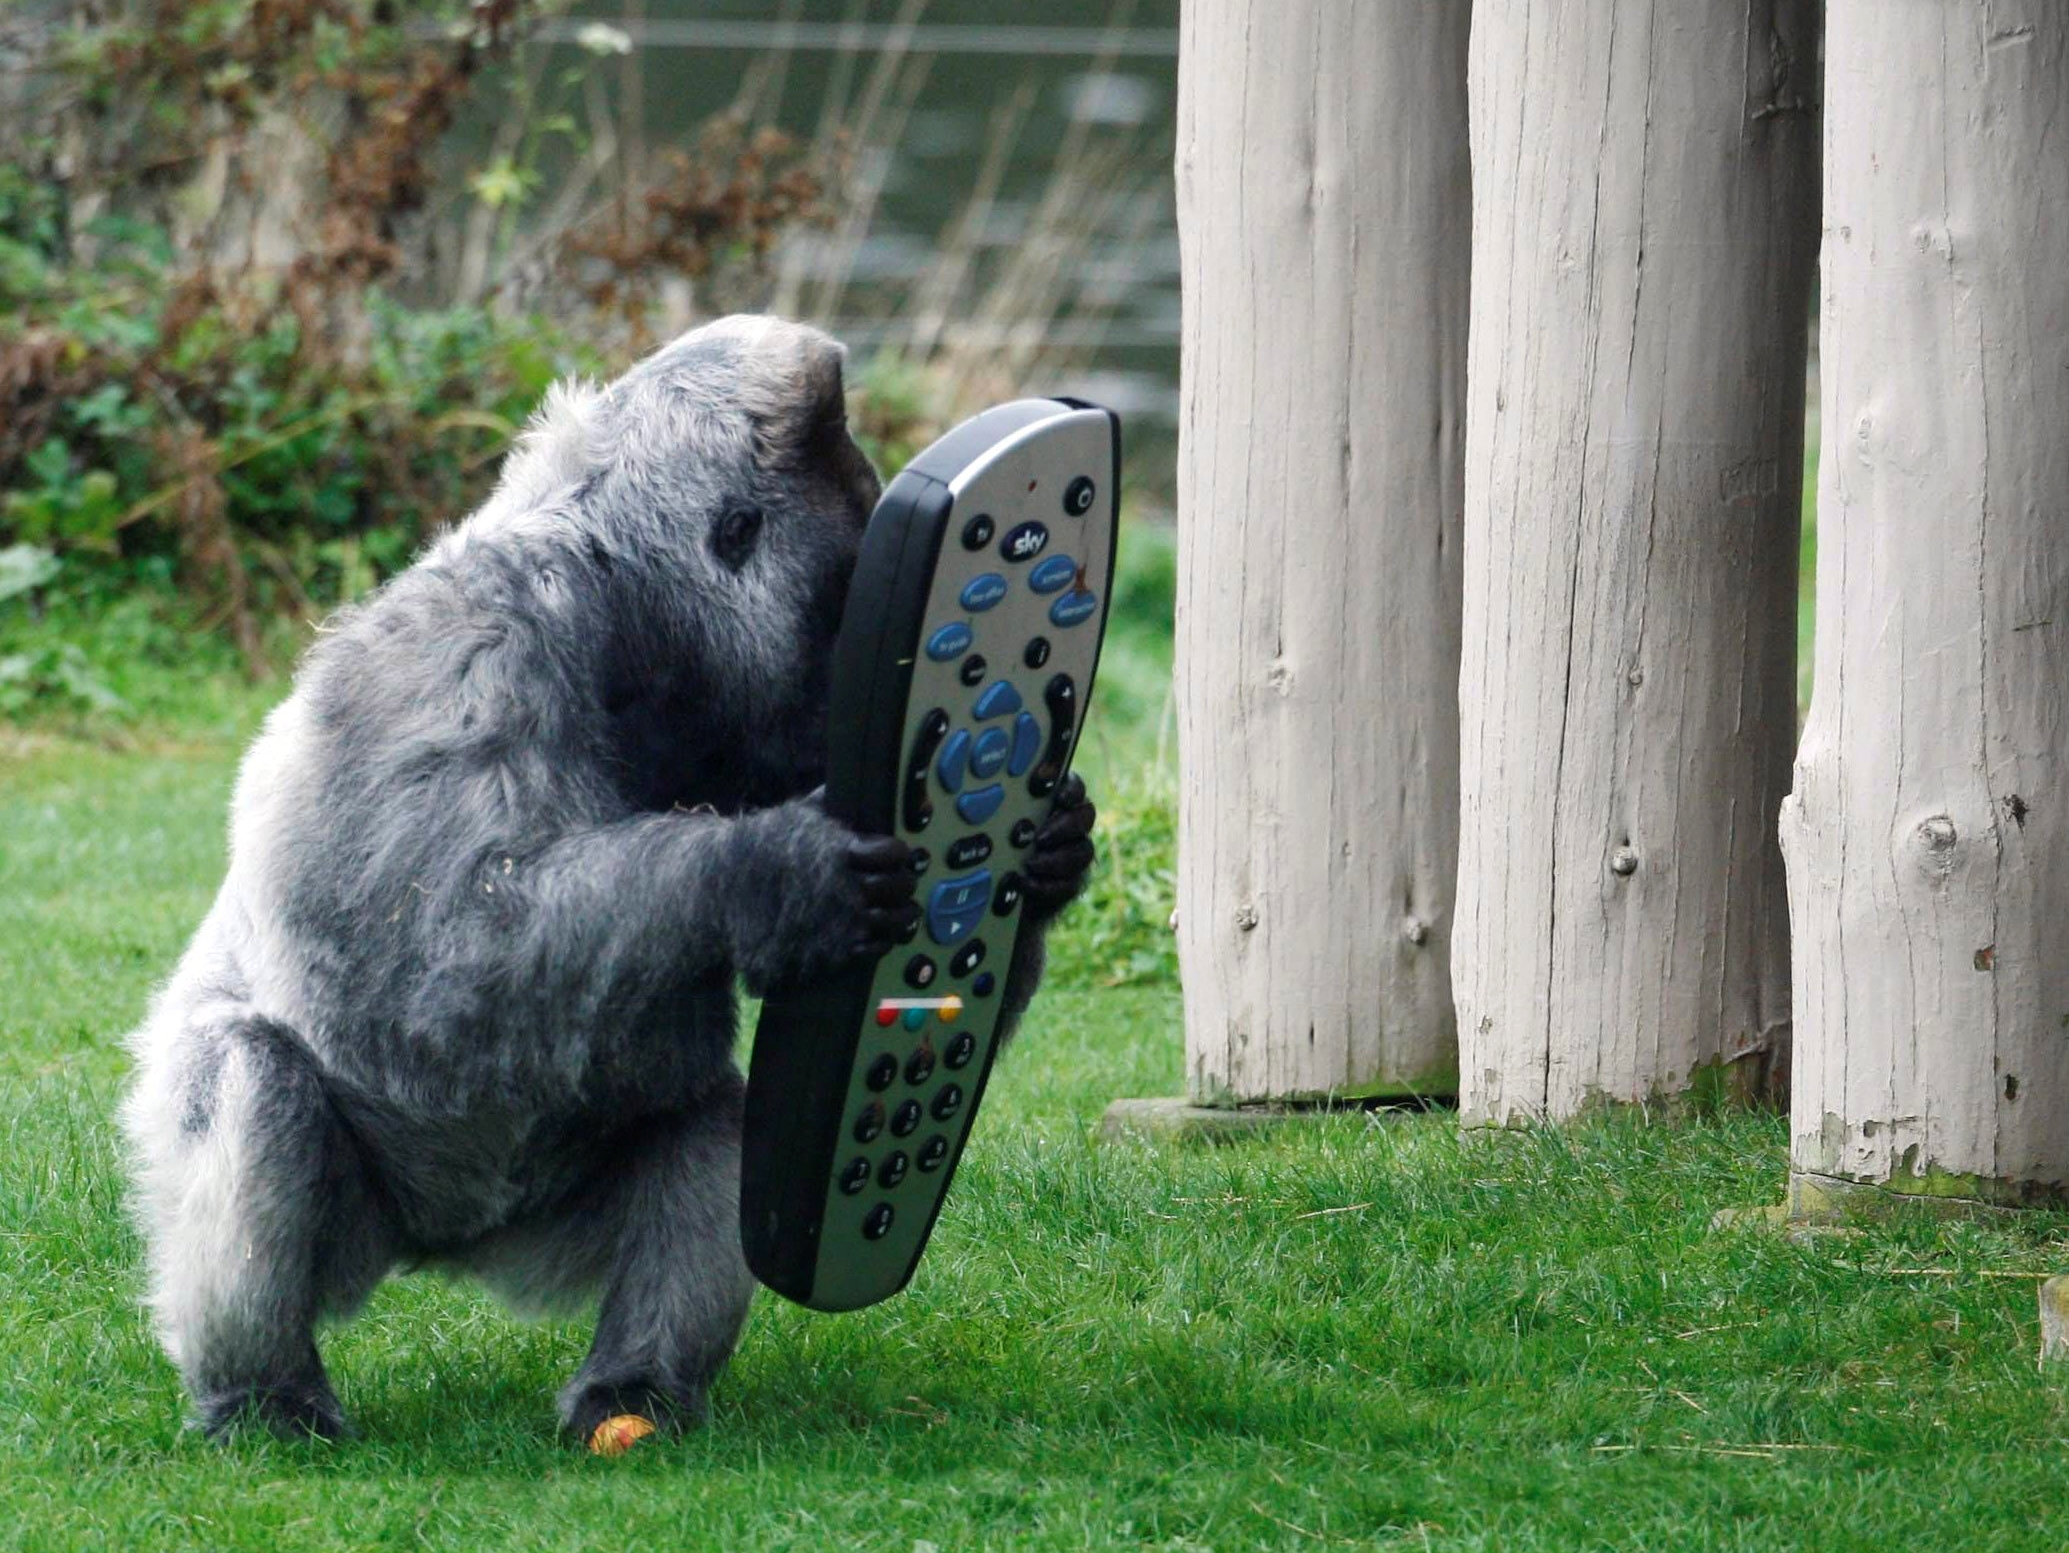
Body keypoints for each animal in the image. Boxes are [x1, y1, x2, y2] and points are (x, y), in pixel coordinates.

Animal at [118, 316, 1099, 1443]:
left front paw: (1046, 851)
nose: (846, 712)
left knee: (715, 1124)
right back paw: (261, 1391)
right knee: (251, 1080)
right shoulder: (458, 652)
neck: (623, 604)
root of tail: (440, 1249)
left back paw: (635, 1387)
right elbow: (447, 941)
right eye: (848, 609)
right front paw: (768, 870)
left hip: (541, 1227)